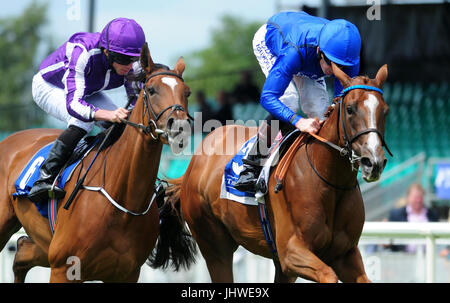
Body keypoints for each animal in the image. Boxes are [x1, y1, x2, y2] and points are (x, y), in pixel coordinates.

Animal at [0, 44, 197, 284]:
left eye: (187, 92)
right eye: (151, 90)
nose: (179, 127)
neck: (123, 201)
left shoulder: (126, 273)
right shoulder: (63, 268)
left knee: (21, 251)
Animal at [163, 64, 390, 284]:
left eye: (385, 111)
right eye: (350, 109)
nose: (374, 162)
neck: (329, 181)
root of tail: (195, 162)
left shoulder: (344, 255)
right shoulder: (291, 252)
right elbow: (328, 275)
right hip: (214, 246)